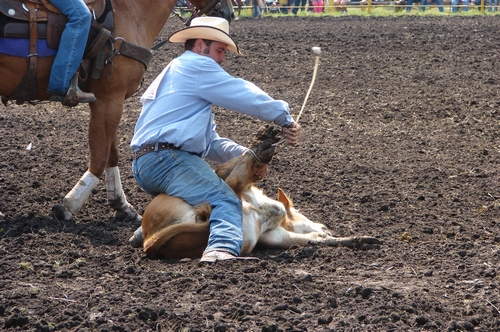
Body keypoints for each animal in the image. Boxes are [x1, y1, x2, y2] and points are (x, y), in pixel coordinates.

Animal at [0, 0, 234, 223]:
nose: (230, 14)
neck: (130, 12)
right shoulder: (109, 99)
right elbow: (100, 156)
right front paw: (69, 205)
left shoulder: (111, 101)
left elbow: (112, 153)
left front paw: (121, 205)